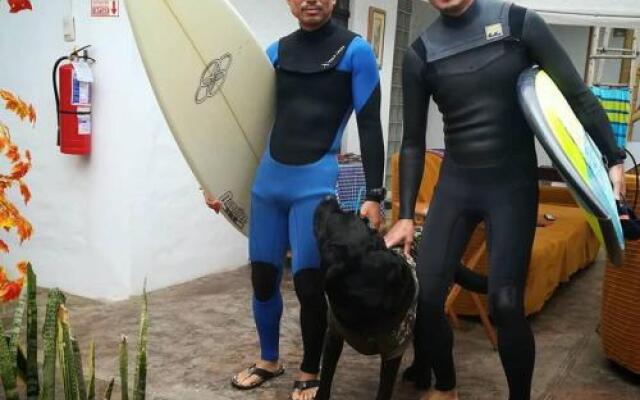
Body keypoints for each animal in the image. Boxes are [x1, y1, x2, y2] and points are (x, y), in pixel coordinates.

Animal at [312, 198, 488, 400]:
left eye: (339, 214)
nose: (328, 198)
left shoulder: (393, 352)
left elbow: (384, 390)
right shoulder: (334, 334)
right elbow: (326, 377)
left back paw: (422, 376)